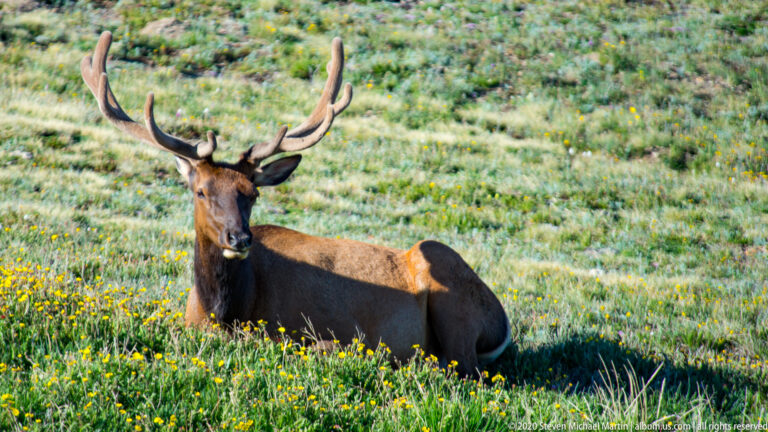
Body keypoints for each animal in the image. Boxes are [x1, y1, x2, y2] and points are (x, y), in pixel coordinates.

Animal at [81, 31, 510, 376]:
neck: (223, 311)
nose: (240, 239)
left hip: (443, 273)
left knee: (460, 366)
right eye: (200, 190)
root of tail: (502, 326)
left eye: (253, 193)